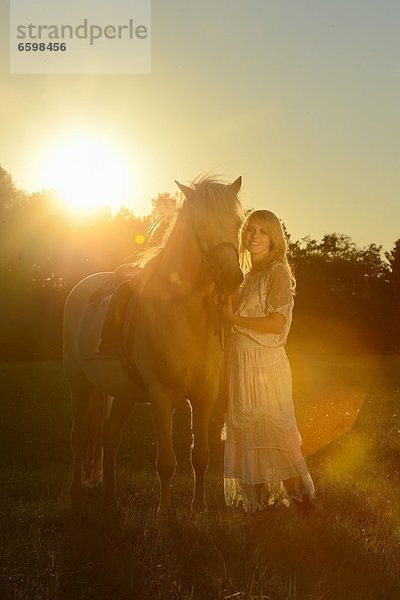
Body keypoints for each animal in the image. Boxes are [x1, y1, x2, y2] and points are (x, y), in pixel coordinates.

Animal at [63, 175, 244, 510]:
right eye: (200, 223)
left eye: (237, 223)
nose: (231, 278)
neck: (183, 314)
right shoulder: (161, 397)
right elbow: (167, 462)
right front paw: (164, 511)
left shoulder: (205, 396)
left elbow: (200, 456)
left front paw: (199, 507)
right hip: (79, 384)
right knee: (79, 436)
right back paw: (75, 491)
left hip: (123, 393)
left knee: (110, 435)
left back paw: (110, 495)